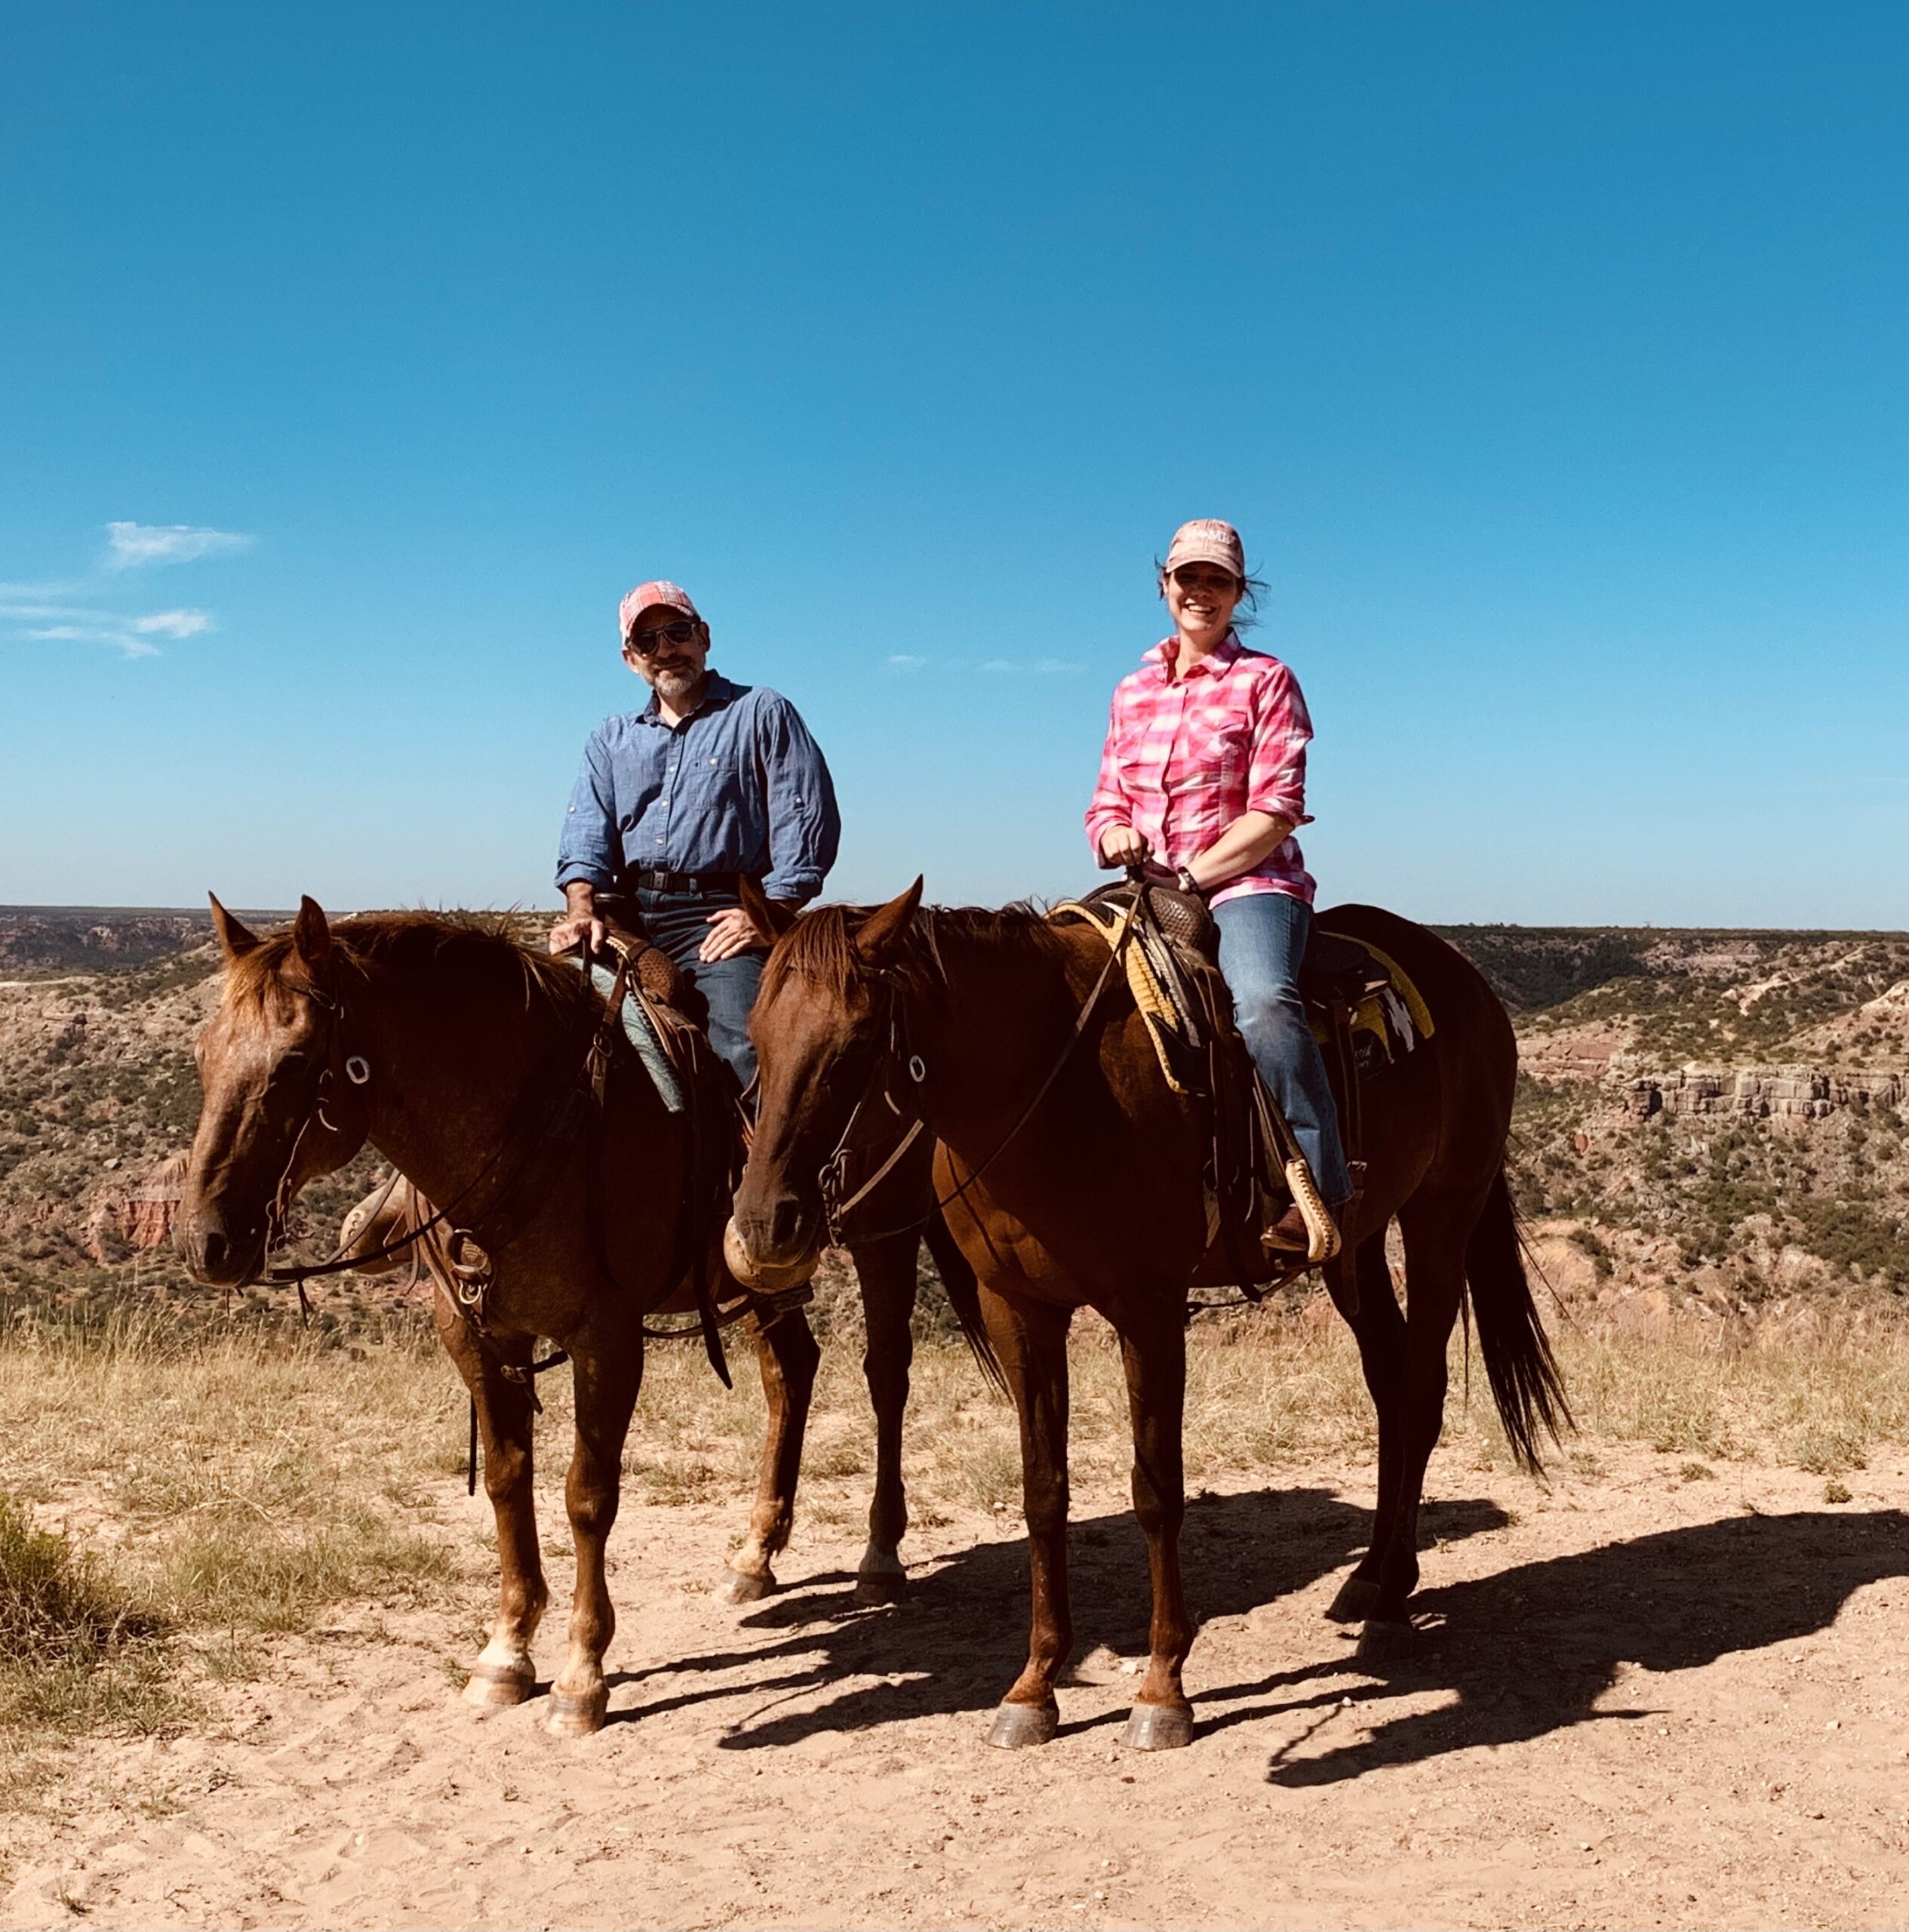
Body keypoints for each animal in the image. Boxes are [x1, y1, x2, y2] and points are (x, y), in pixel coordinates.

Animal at [177, 892, 989, 1739]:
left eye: (295, 1061)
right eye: (202, 1055)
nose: (207, 1240)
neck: (528, 1124)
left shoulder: (607, 1336)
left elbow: (587, 1496)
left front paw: (581, 1675)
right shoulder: (476, 1336)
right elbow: (509, 1480)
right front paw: (506, 1651)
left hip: (883, 1234)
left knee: (885, 1375)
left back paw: (879, 1555)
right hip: (761, 1275)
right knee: (790, 1371)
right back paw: (754, 1554)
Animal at [730, 884, 1569, 1754]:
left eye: (857, 1041)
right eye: (754, 1033)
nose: (764, 1226)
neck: (1053, 1090)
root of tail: (1461, 975)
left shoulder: (1149, 1310)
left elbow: (1156, 1489)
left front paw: (1163, 1687)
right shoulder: (1018, 1309)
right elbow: (1043, 1491)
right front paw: (1035, 1685)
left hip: (1443, 1214)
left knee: (1423, 1389)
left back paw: (1395, 1597)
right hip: (1360, 1243)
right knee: (1389, 1385)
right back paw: (1368, 1578)